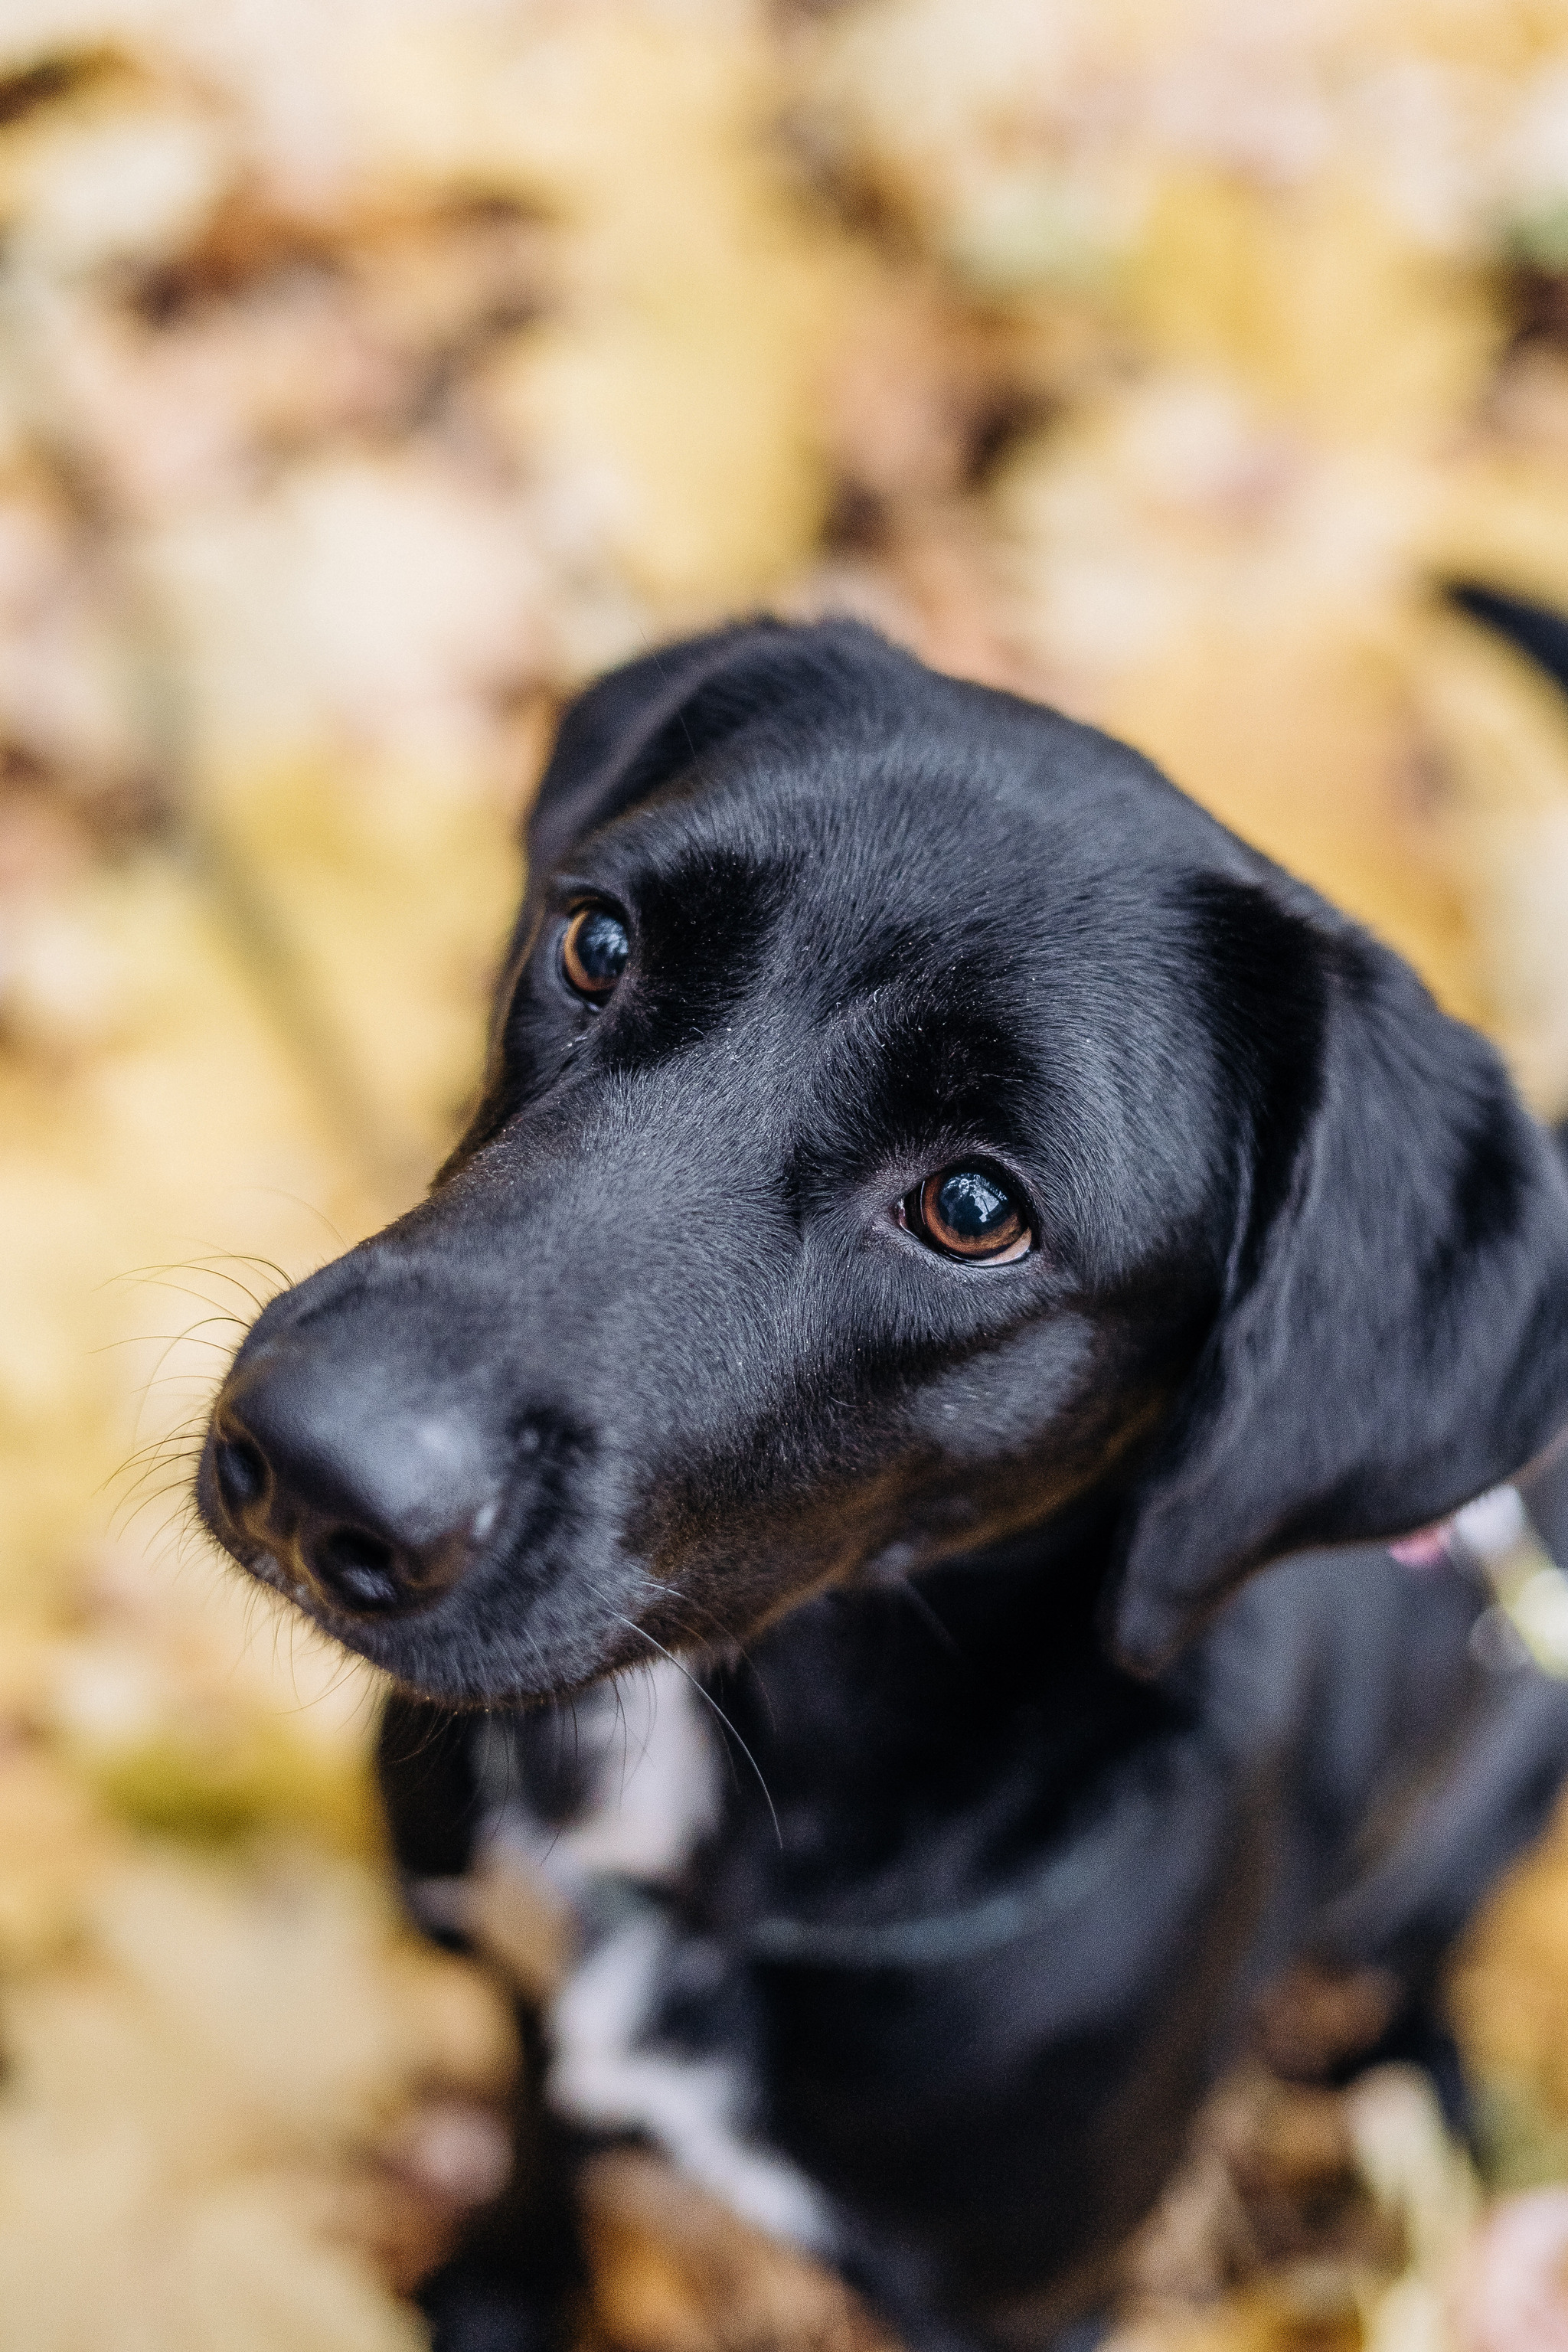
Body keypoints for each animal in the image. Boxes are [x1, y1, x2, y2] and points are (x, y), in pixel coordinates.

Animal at [199, 616, 1568, 2342]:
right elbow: (532, 2147)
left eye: (974, 1208)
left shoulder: (1033, 2296)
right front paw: (502, 2291)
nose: (314, 1468)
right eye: (595, 941)